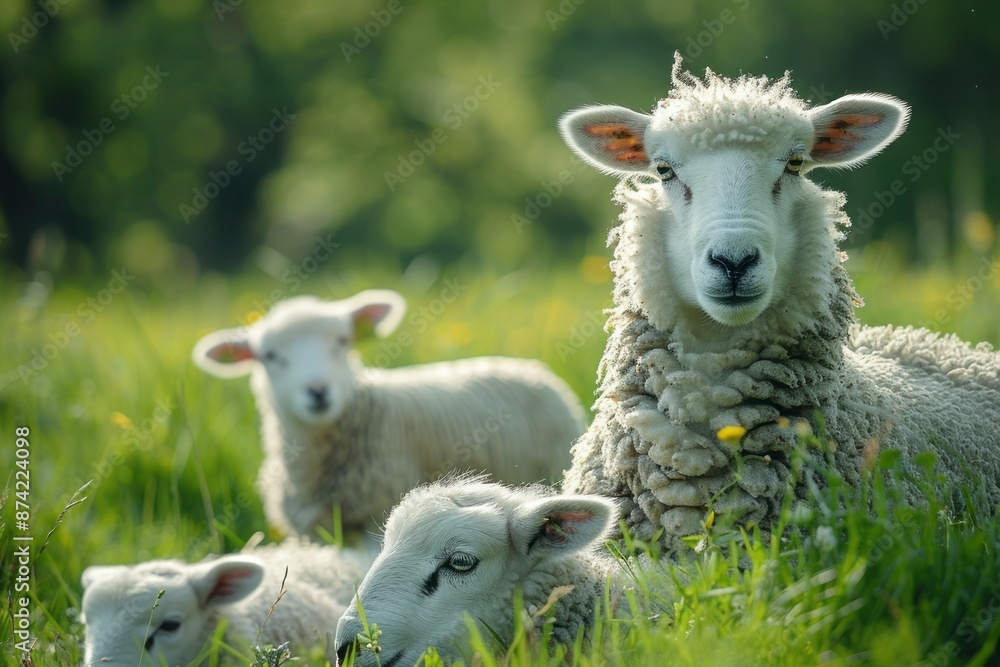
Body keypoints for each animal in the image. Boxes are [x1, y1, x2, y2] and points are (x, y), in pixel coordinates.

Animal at [193, 290, 586, 540]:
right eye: (270, 356)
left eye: (342, 341)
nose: (318, 391)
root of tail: (531, 366)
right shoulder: (313, 532)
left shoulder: (375, 514)